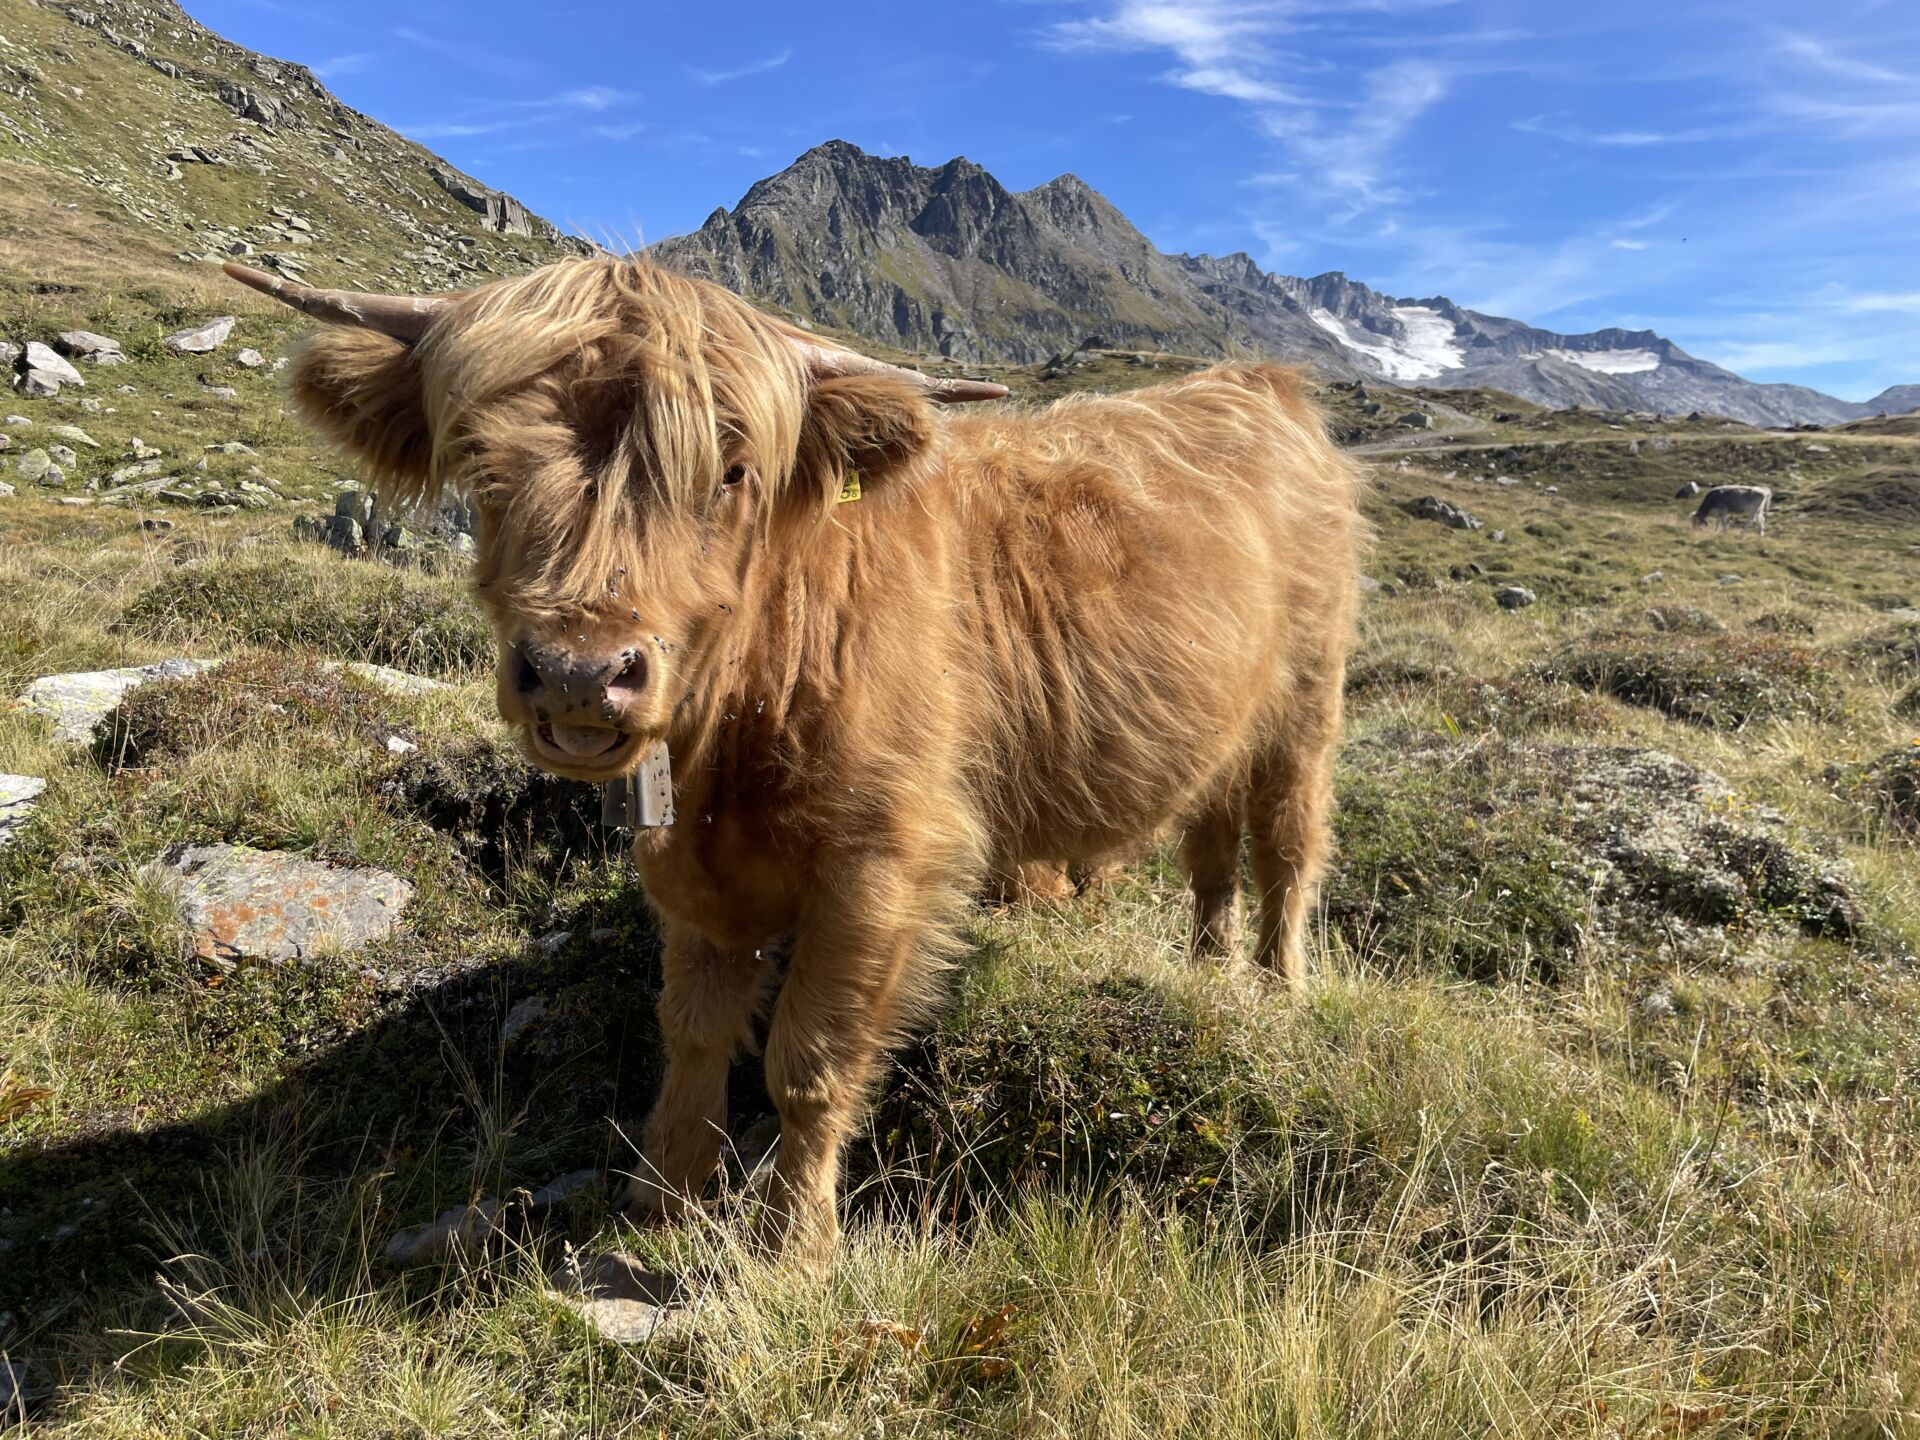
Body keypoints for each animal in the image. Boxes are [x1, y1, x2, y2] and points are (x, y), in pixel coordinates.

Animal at [225, 257, 1365, 1262]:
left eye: (731, 475)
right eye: (480, 463)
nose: (582, 675)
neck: (736, 728)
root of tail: (1254, 381)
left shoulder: (884, 862)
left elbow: (809, 1059)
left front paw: (791, 1244)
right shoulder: (685, 867)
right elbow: (692, 1026)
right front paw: (664, 1195)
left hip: (1306, 700)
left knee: (1287, 849)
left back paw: (1277, 991)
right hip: (1218, 729)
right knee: (1211, 852)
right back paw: (1209, 975)